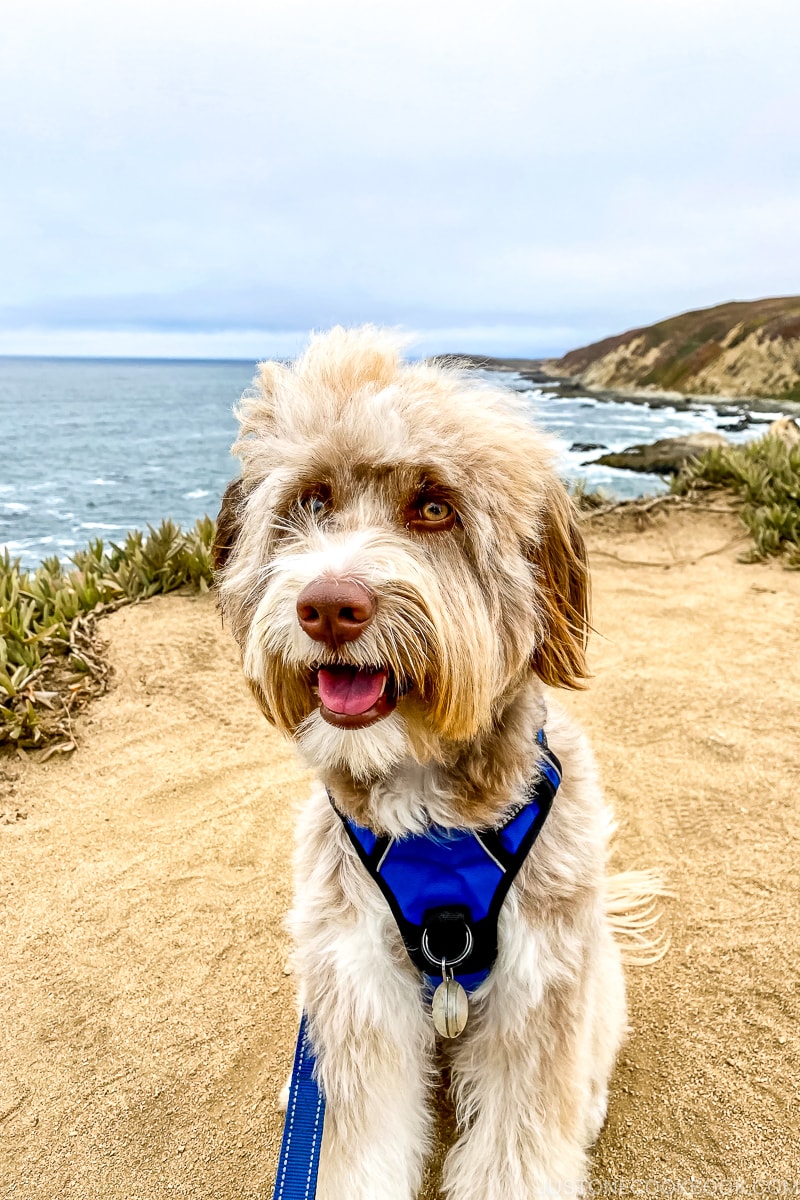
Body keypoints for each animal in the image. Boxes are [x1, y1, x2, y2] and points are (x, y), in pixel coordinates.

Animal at [212, 328, 662, 1200]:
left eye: (433, 507)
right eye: (311, 502)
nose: (328, 606)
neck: (425, 797)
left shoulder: (539, 984)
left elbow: (522, 1145)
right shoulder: (354, 980)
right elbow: (354, 1140)